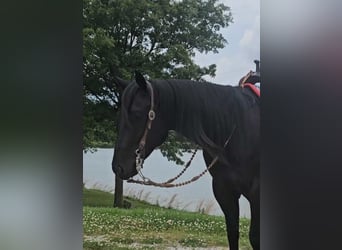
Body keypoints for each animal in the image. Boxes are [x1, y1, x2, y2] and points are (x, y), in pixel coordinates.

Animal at [112, 71, 260, 249]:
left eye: (137, 113)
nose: (118, 167)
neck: (239, 129)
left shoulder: (257, 194)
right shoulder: (224, 190)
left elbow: (255, 238)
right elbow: (232, 233)